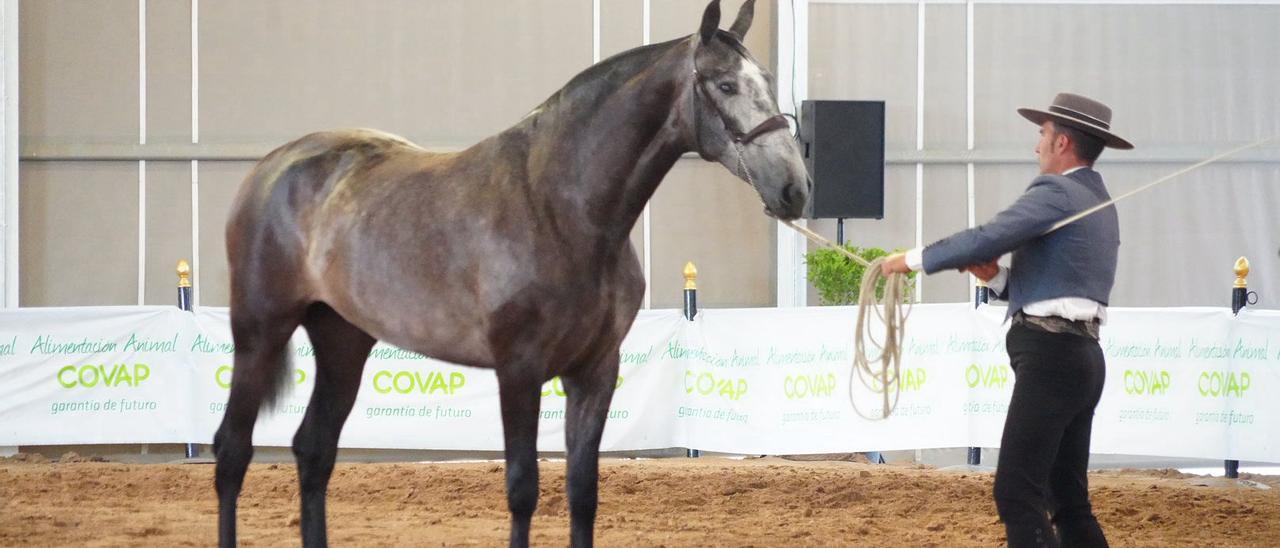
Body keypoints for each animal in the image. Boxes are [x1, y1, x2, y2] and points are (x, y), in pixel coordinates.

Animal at [213, 2, 803, 545]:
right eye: (725, 84)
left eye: (769, 83)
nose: (795, 190)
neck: (560, 207)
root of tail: (273, 167)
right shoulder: (518, 370)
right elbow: (523, 489)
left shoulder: (596, 371)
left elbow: (583, 492)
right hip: (260, 333)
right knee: (232, 452)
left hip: (343, 341)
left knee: (314, 451)